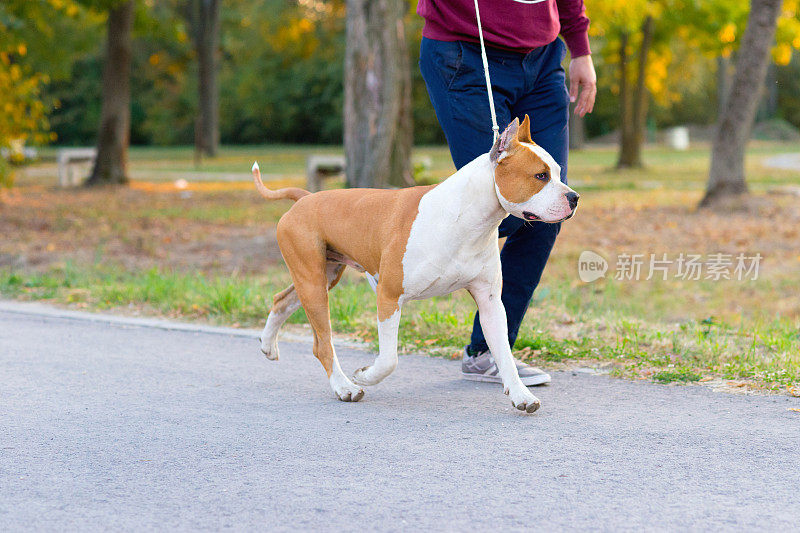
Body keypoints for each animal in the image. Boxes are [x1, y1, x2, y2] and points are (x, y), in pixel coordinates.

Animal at [253, 116, 580, 414]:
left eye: (558, 172)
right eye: (540, 176)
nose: (574, 197)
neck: (467, 218)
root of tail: (305, 198)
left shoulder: (490, 303)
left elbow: (504, 353)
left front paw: (521, 394)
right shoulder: (388, 295)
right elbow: (389, 360)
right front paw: (366, 376)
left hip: (323, 275)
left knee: (281, 300)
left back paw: (268, 345)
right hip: (313, 281)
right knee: (322, 343)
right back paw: (345, 387)